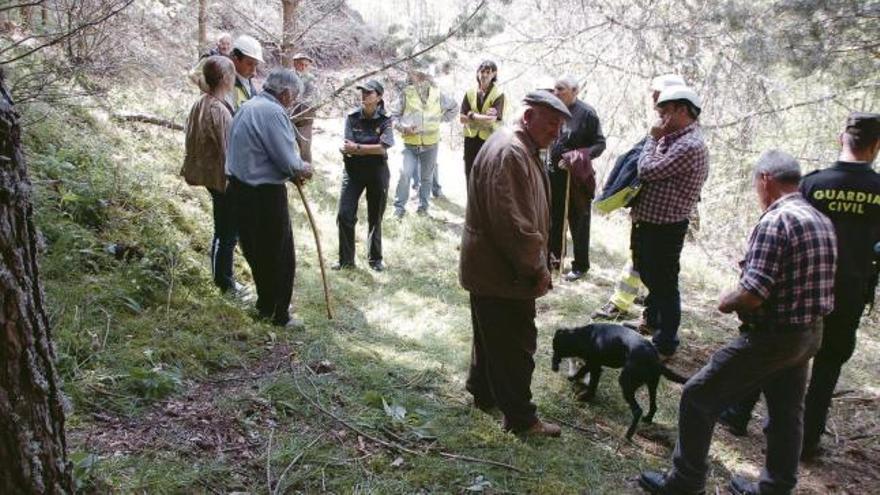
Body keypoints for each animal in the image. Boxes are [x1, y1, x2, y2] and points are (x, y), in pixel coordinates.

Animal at [552, 324, 688, 440]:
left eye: (556, 348)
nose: (553, 367)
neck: (585, 335)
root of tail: (655, 359)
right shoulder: (595, 366)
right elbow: (588, 379)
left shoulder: (594, 364)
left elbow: (586, 377)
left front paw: (583, 394)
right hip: (652, 385)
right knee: (653, 406)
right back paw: (647, 419)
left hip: (626, 383)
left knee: (637, 410)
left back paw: (629, 434)